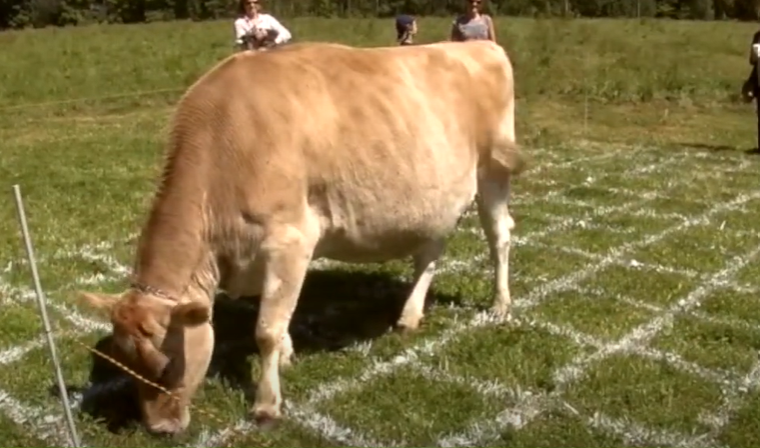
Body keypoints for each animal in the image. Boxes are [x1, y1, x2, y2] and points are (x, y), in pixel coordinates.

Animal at [79, 40, 526, 435]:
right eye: (121, 364)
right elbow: (277, 315)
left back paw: (500, 304)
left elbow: (266, 329)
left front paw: (266, 406)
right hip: (436, 197)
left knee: (499, 235)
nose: (159, 429)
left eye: (168, 366)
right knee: (431, 252)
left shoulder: (291, 240)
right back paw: (409, 316)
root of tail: (480, 45)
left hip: (494, 168)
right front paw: (288, 354)